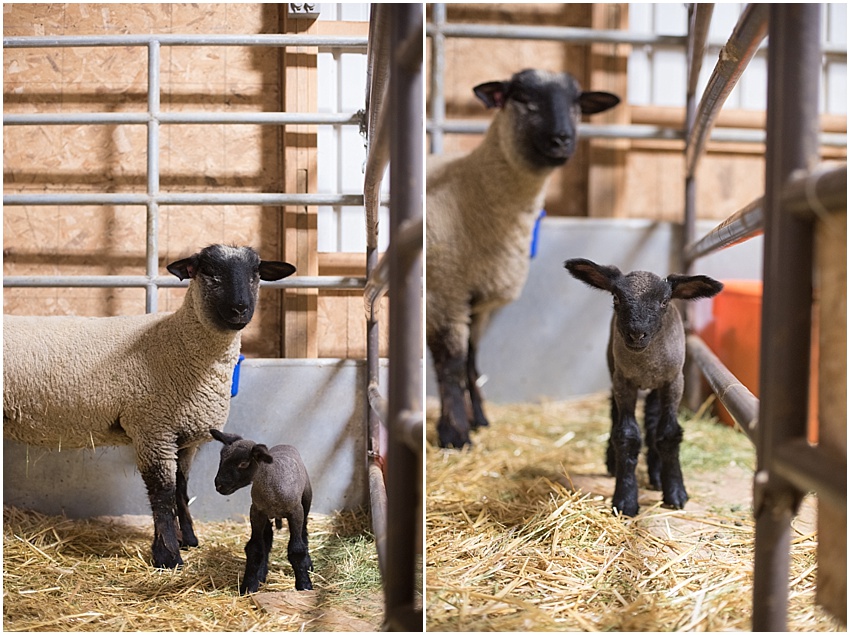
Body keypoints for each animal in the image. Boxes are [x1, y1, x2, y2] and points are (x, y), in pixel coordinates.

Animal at [3, 244, 296, 568]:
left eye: (256, 272)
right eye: (208, 271)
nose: (240, 309)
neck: (177, 341)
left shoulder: (184, 437)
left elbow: (181, 488)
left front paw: (189, 539)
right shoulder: (152, 429)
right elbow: (162, 494)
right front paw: (168, 555)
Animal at [210, 429, 313, 594]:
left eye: (243, 463)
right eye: (222, 458)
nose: (219, 485)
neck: (271, 487)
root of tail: (285, 444)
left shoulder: (295, 512)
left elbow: (297, 549)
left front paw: (304, 585)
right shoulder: (256, 512)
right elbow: (255, 548)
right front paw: (249, 586)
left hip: (306, 500)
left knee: (303, 531)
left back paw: (308, 564)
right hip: (266, 515)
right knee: (267, 538)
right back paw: (261, 573)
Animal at [427, 68, 620, 448]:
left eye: (576, 105)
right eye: (524, 100)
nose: (562, 140)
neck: (471, 192)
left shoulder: (478, 301)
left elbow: (471, 362)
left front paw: (478, 419)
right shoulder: (446, 290)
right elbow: (452, 364)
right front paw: (455, 434)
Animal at [564, 258, 723, 517]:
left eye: (665, 301)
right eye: (616, 297)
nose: (636, 334)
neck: (647, 364)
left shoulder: (673, 381)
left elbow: (668, 434)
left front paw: (675, 492)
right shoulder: (624, 382)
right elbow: (627, 435)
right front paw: (625, 499)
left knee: (653, 417)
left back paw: (656, 474)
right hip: (613, 368)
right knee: (615, 414)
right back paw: (613, 463)